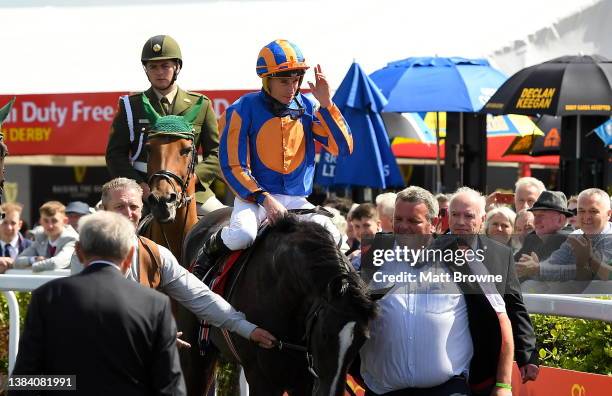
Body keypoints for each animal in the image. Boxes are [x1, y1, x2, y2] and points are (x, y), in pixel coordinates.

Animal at [180, 213, 378, 396]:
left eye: (362, 340)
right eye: (324, 334)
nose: (331, 392)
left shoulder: (303, 382)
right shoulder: (262, 379)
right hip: (196, 353)